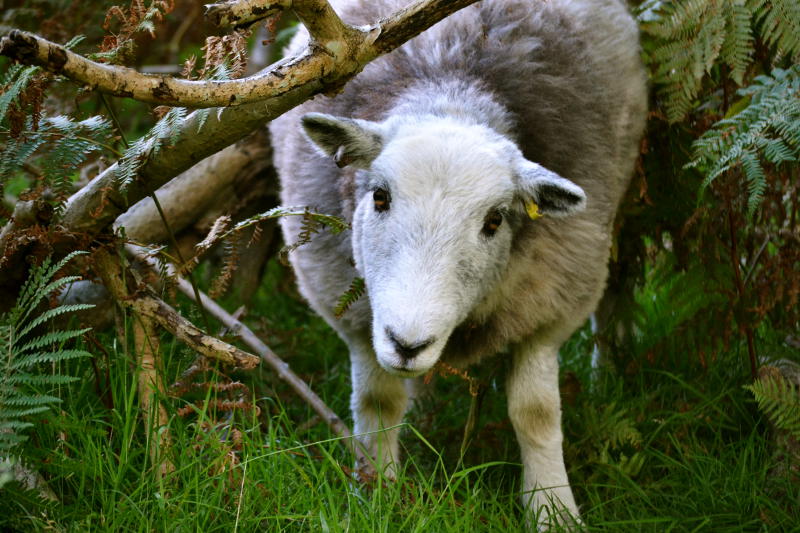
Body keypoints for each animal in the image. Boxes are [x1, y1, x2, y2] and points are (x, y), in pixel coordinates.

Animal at [272, 0, 648, 524]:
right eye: (380, 197)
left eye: (495, 221)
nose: (408, 344)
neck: (452, 94)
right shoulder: (357, 318)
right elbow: (377, 404)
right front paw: (375, 496)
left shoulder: (547, 304)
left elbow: (535, 413)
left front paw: (553, 511)